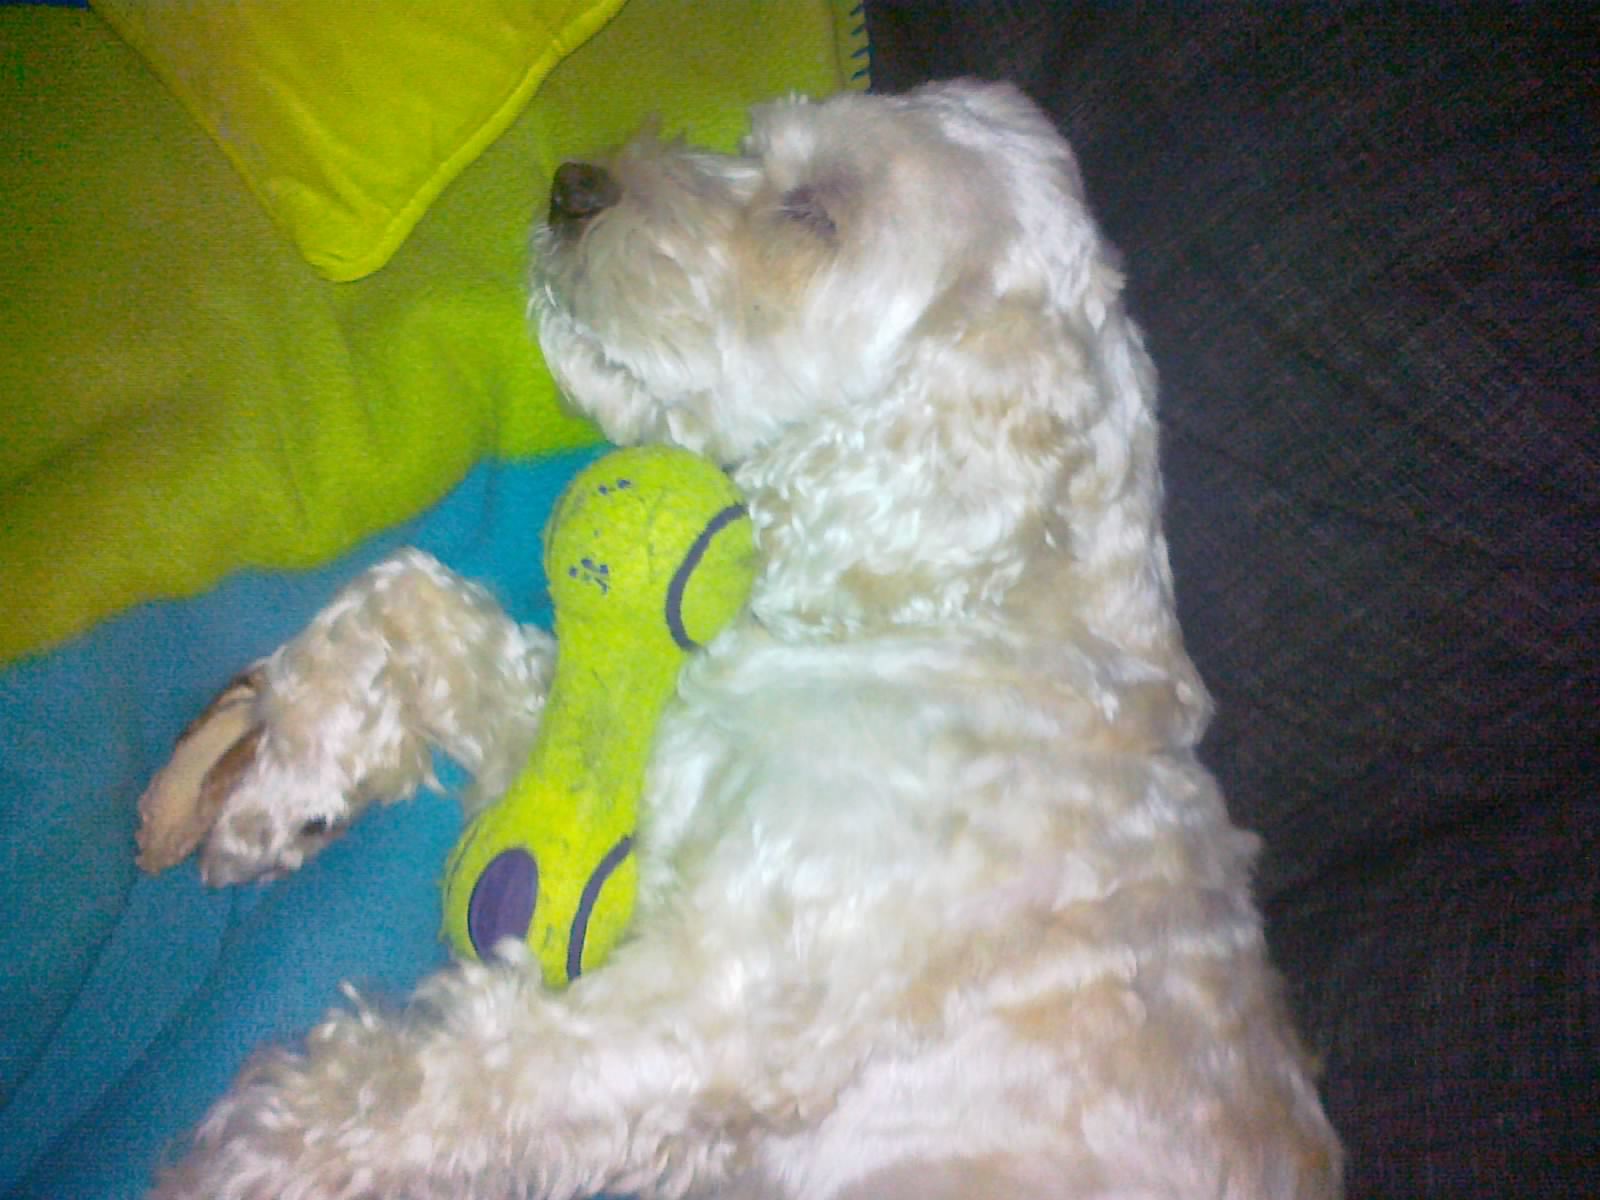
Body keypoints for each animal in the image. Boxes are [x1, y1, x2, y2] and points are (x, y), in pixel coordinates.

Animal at [142, 80, 1342, 1199]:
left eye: (812, 215)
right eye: (752, 144)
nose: (571, 184)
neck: (954, 622)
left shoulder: (709, 1014)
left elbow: (418, 1092)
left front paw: (240, 1162)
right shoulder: (625, 755)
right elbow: (401, 597)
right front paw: (284, 784)